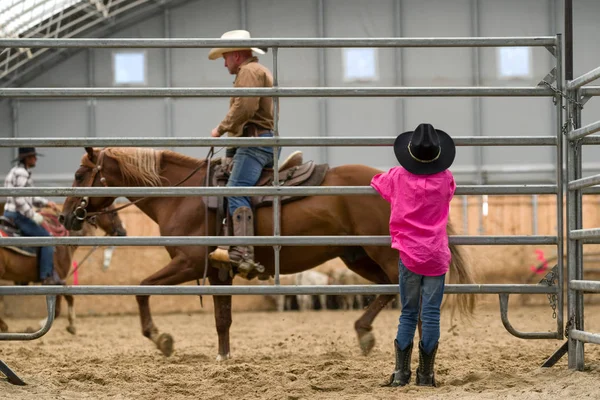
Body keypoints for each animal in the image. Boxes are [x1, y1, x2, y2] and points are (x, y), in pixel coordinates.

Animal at [59, 147, 474, 360]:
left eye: (80, 175)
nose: (65, 216)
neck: (183, 196)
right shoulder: (217, 271)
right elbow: (222, 318)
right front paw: (224, 356)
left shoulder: (189, 263)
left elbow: (141, 288)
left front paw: (160, 338)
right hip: (357, 257)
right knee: (396, 291)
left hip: (379, 253)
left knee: (401, 290)